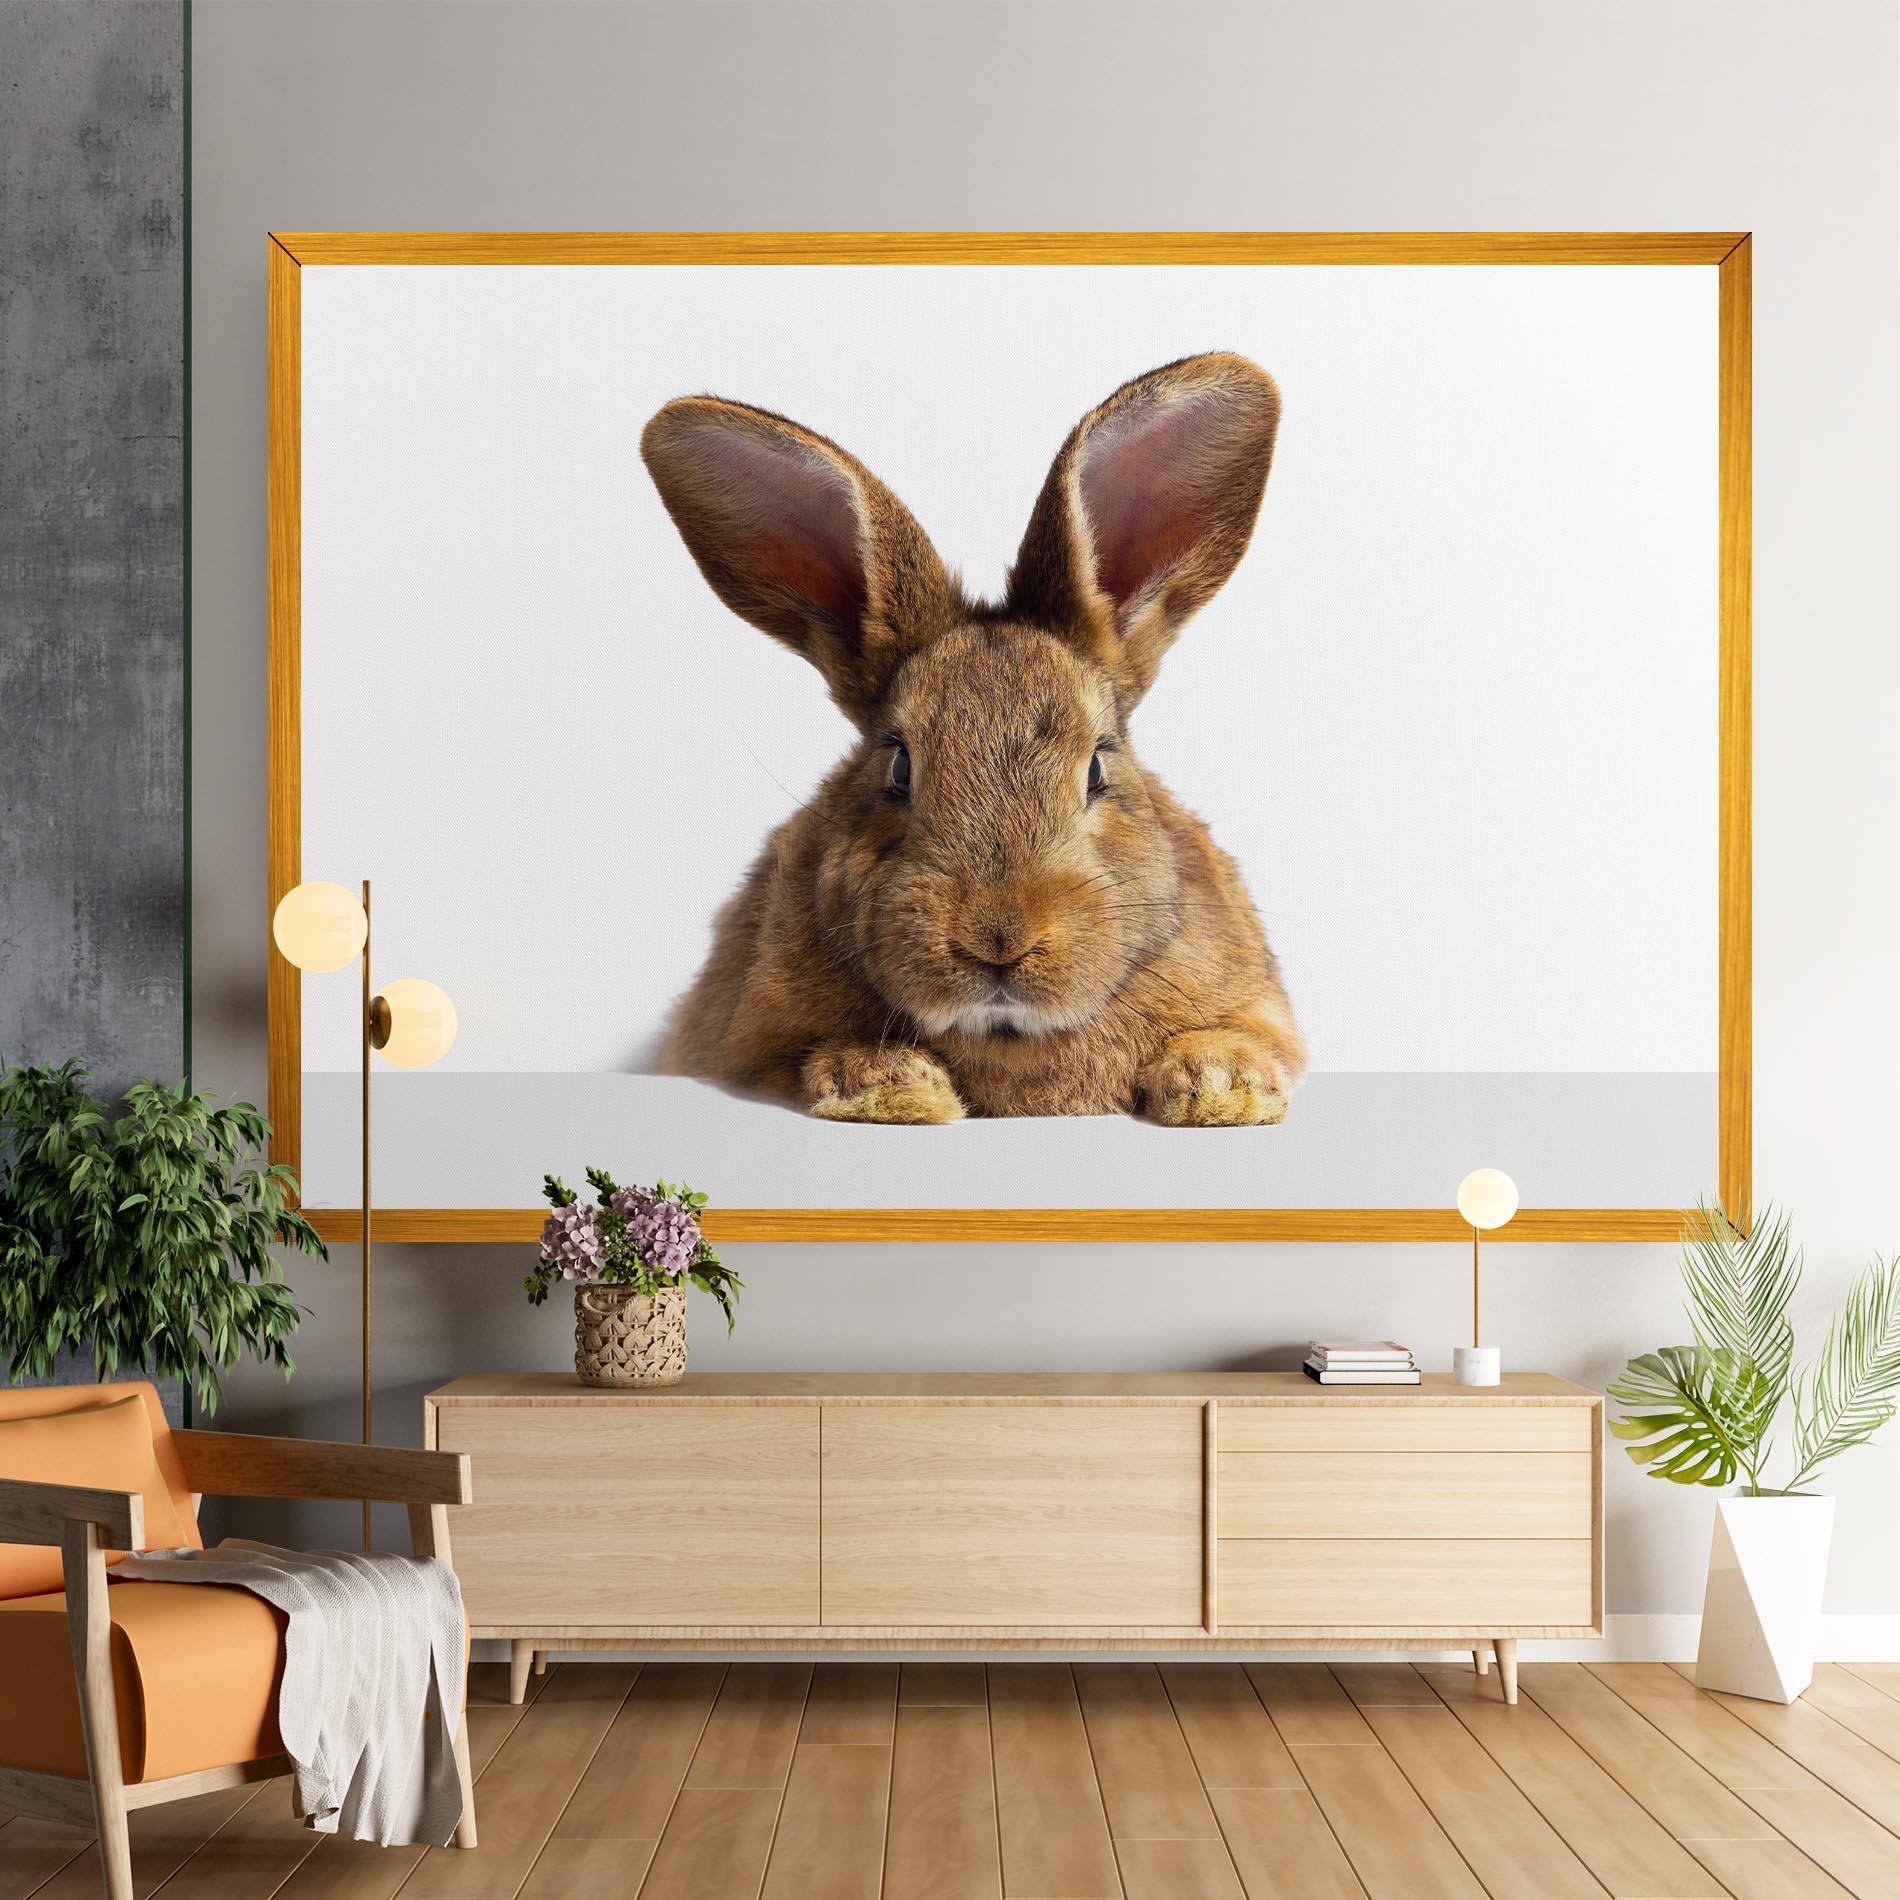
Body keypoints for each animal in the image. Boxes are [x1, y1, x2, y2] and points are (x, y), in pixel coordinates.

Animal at [640, 351, 1306, 1126]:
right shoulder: (746, 1046)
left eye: (1097, 769)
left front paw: (1221, 1085)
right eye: (898, 768)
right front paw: (891, 1086)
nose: (997, 941)